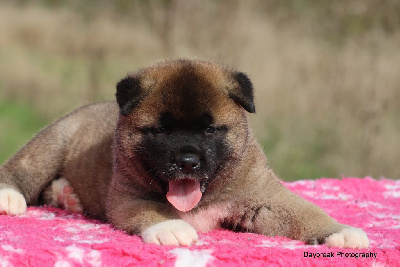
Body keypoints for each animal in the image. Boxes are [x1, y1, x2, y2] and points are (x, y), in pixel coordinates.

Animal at [0, 59, 368, 248]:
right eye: (161, 131)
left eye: (210, 130)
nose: (187, 162)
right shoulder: (130, 198)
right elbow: (151, 210)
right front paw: (170, 228)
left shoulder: (263, 196)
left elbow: (305, 212)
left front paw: (339, 231)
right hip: (52, 144)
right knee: (21, 170)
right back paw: (10, 196)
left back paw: (68, 196)